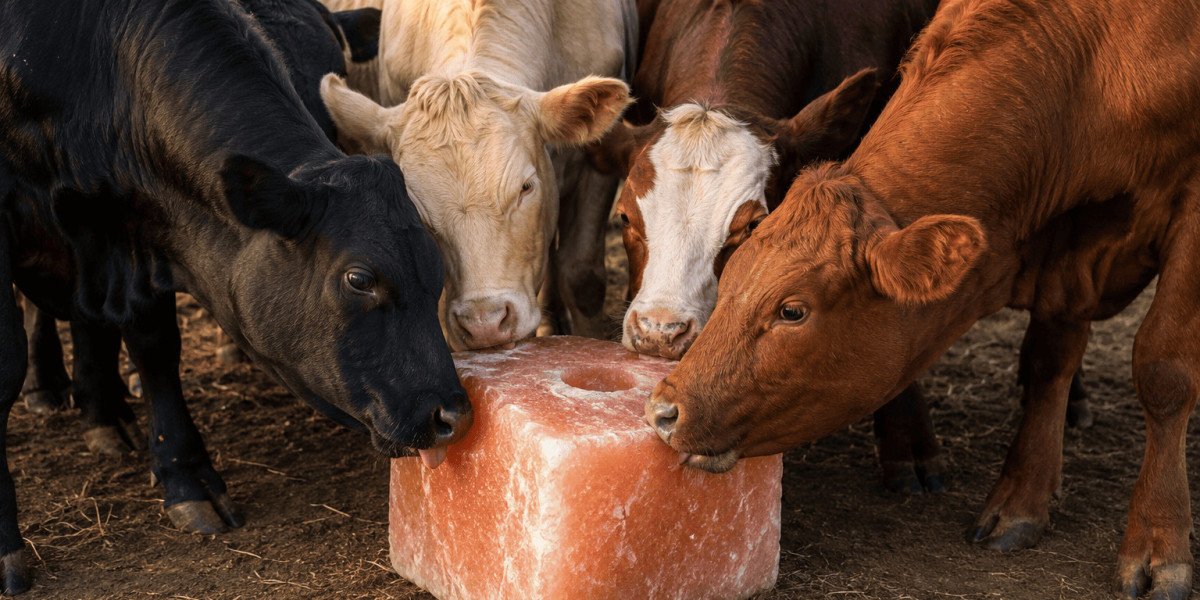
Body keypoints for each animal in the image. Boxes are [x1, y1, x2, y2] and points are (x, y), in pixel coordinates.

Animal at [0, 0, 470, 593]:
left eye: (435, 266)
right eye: (360, 279)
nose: (453, 415)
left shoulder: (135, 228)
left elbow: (155, 346)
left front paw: (185, 474)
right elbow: (5, 368)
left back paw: (104, 412)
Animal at [646, 0, 1200, 596]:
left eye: (792, 310)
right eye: (729, 280)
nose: (663, 410)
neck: (1095, 57)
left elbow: (1164, 370)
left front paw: (1158, 543)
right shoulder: (1070, 230)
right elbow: (1052, 357)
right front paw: (1023, 500)